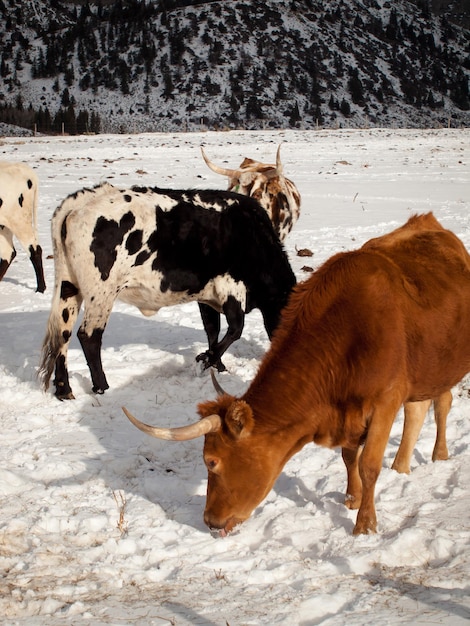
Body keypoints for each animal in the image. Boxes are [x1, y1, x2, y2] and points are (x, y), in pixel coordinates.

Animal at [41, 180, 298, 398]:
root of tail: (82, 201)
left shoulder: (206, 295)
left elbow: (212, 329)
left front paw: (217, 365)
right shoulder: (231, 285)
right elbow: (235, 329)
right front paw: (207, 360)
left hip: (68, 286)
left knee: (62, 333)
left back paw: (64, 389)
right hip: (101, 292)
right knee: (89, 336)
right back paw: (102, 386)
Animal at [122, 212, 470, 532]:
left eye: (211, 460)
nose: (210, 521)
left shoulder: (385, 401)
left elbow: (369, 464)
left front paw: (365, 524)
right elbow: (349, 457)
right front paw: (352, 498)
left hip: (444, 366)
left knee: (442, 404)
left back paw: (439, 454)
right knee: (419, 410)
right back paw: (401, 466)